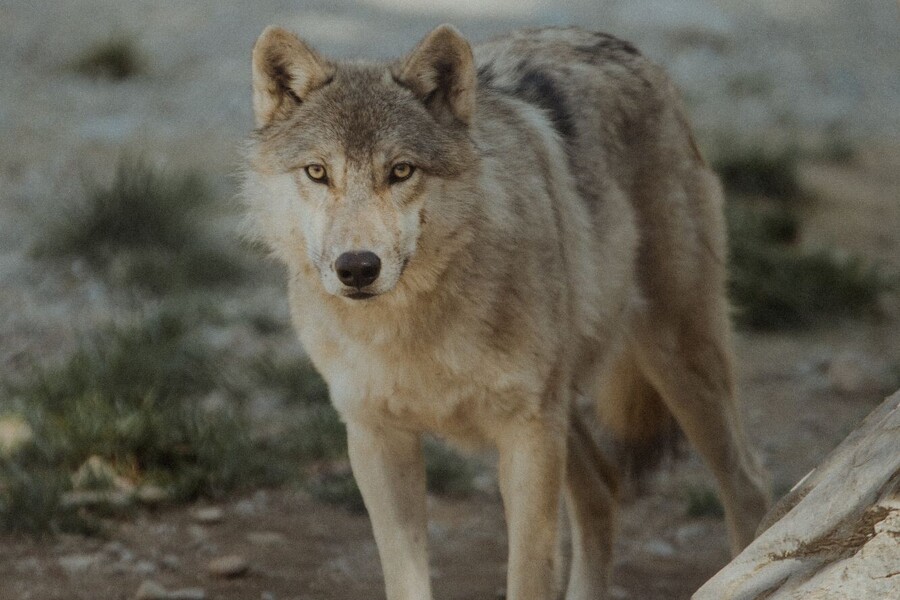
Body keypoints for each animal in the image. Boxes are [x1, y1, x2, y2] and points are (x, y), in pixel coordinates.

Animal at [243, 24, 768, 600]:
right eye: (317, 172)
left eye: (400, 171)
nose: (357, 267)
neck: (412, 333)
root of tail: (621, 46)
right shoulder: (376, 437)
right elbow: (406, 578)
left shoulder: (527, 435)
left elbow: (528, 574)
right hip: (569, 403)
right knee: (604, 487)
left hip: (675, 364)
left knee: (749, 486)